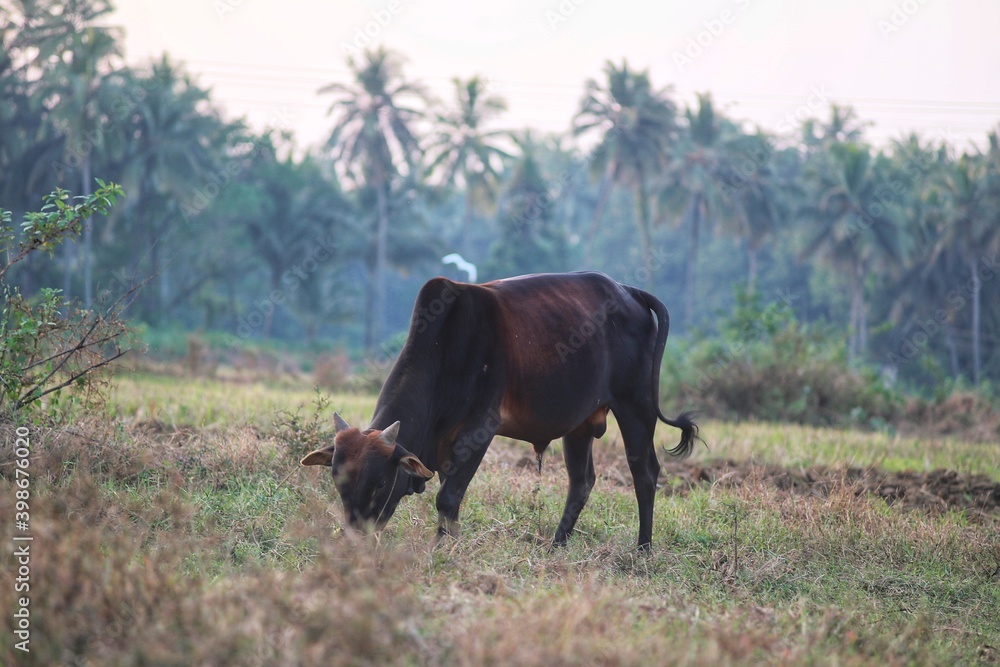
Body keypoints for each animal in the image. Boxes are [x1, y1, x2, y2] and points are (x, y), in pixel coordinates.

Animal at [300, 272, 700, 548]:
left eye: (381, 482)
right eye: (337, 479)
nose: (357, 535)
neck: (447, 346)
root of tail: (628, 291)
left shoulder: (481, 427)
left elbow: (448, 497)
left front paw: (442, 549)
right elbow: (450, 494)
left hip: (636, 405)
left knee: (644, 472)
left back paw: (643, 549)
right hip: (581, 424)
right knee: (581, 481)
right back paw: (556, 546)